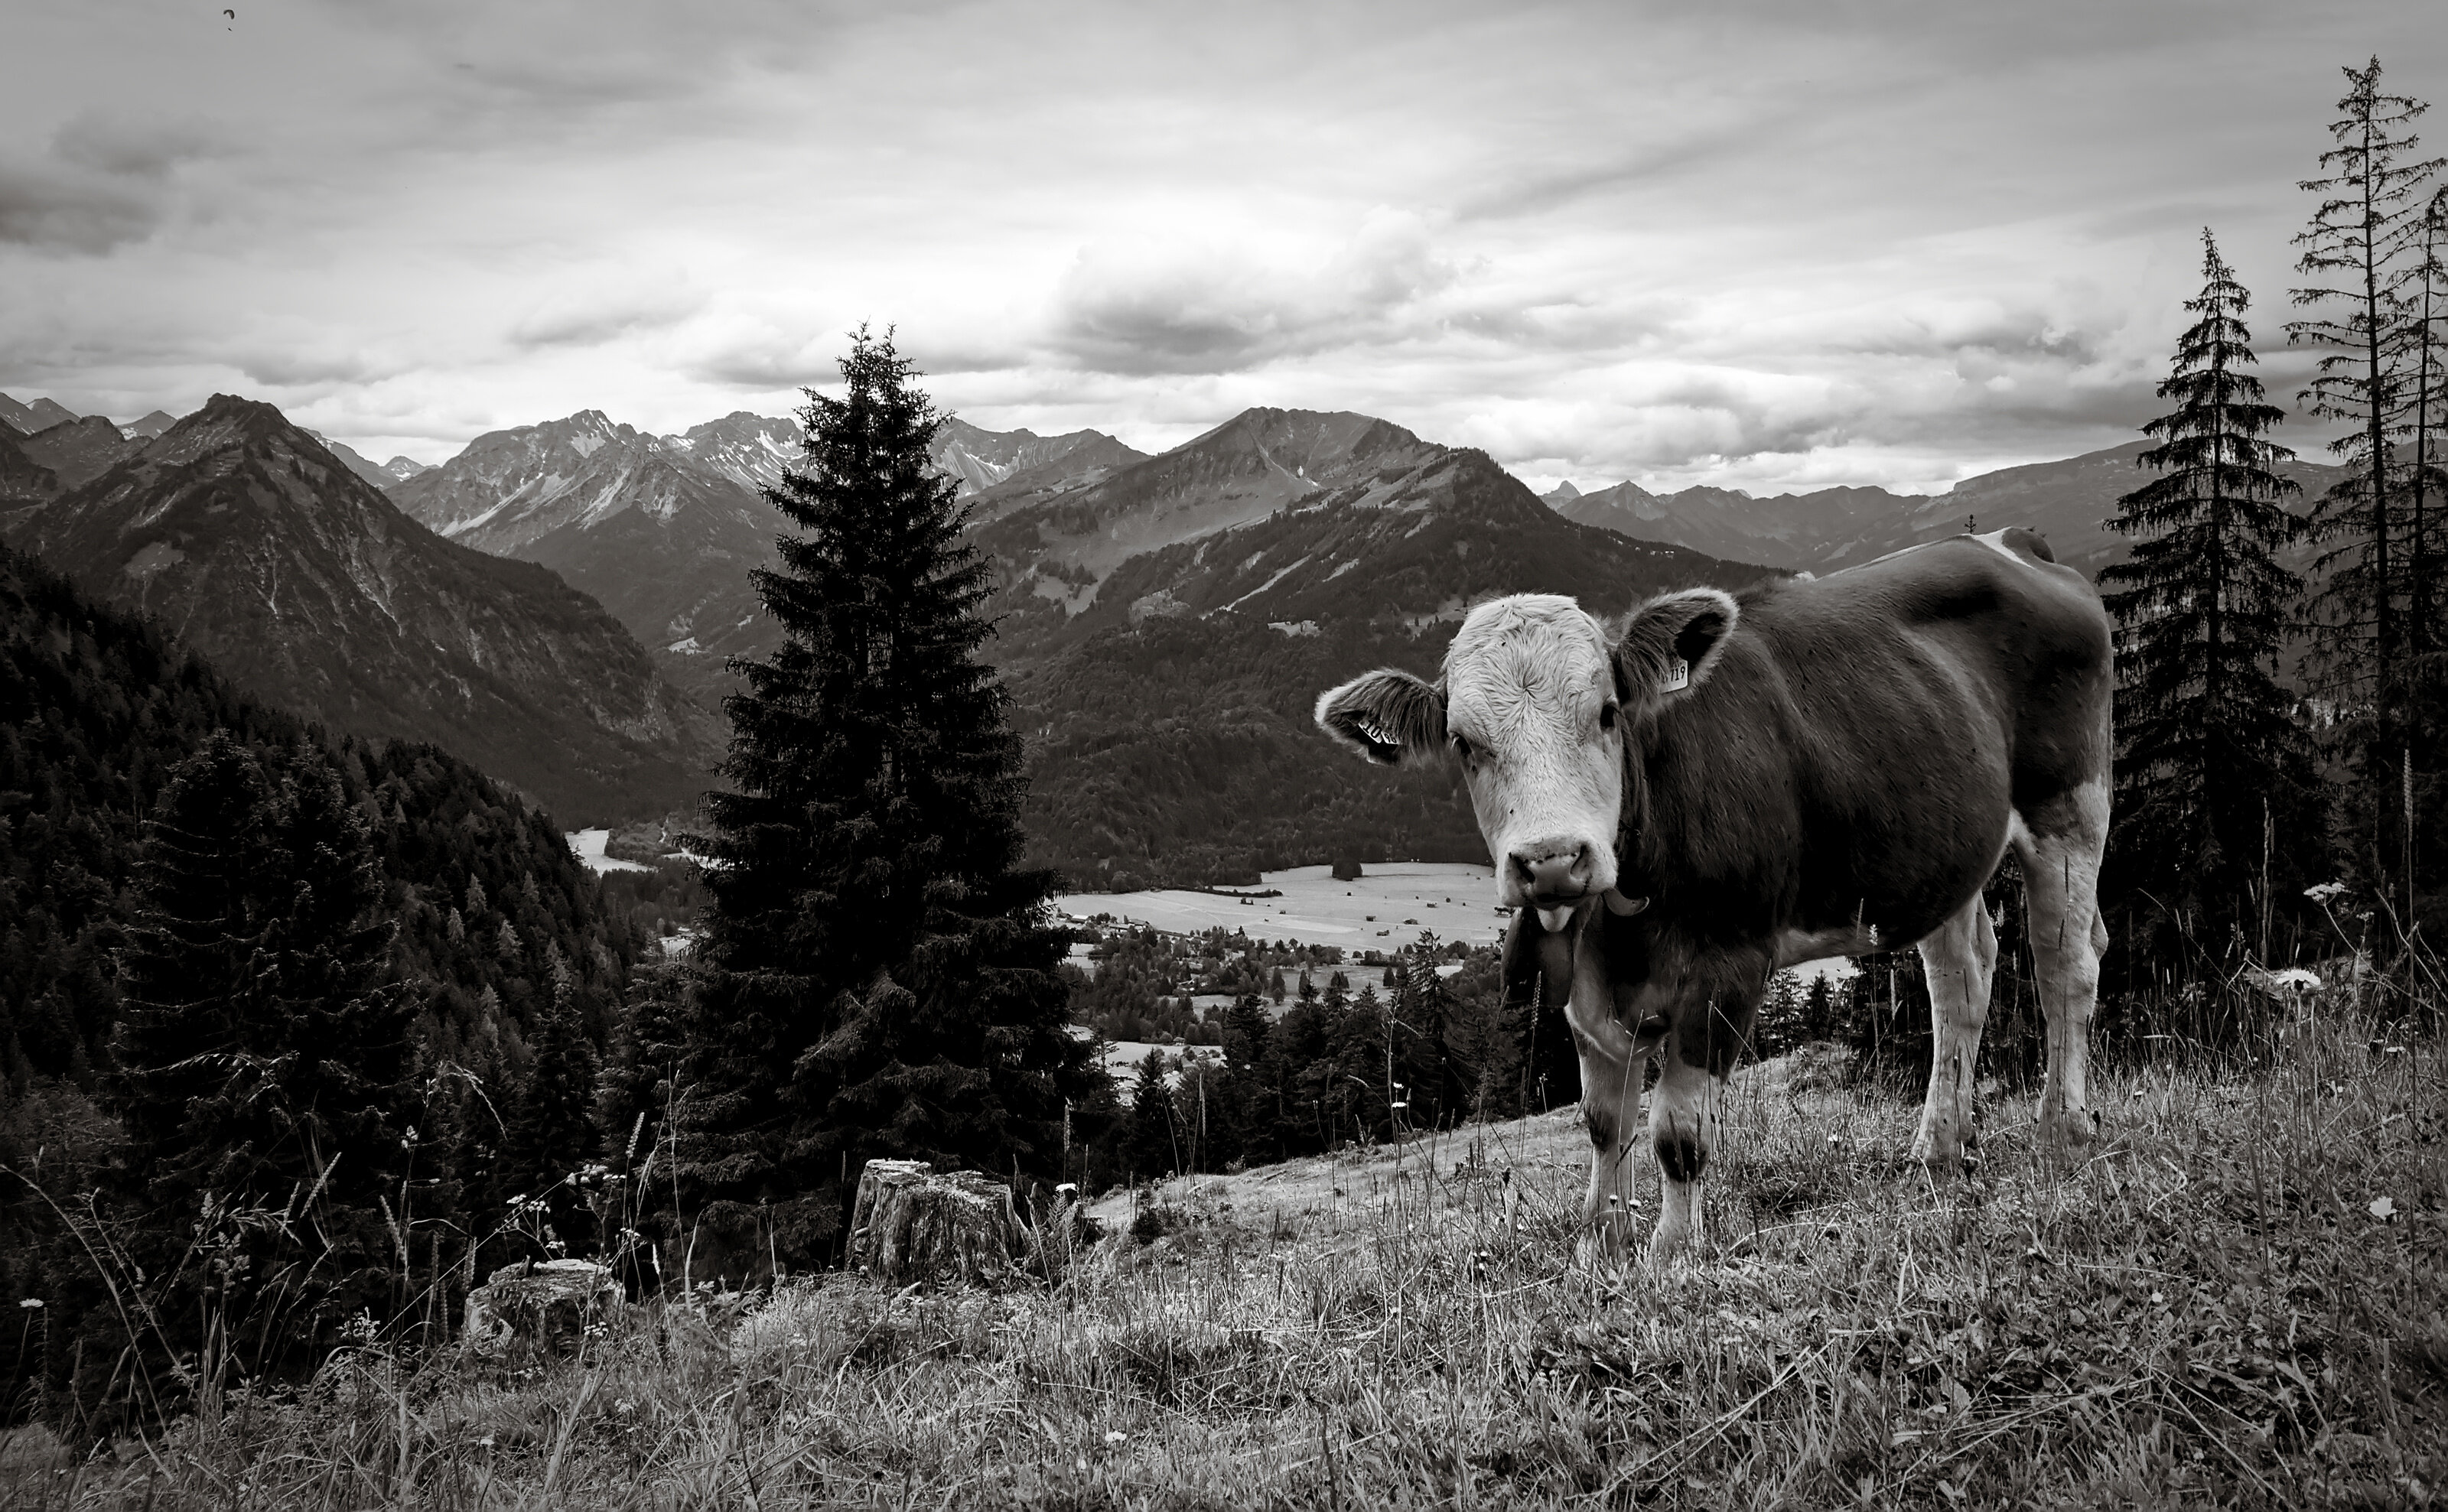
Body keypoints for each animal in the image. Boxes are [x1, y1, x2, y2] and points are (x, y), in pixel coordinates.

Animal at [1314, 529, 2112, 1261]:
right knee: (1962, 980)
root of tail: (2014, 544)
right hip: (1944, 851)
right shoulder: (1583, 991)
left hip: (2072, 805)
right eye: (1463, 742)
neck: (1623, 920)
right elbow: (1604, 1121)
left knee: (2066, 967)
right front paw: (1601, 1246)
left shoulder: (1729, 965)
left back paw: (2062, 1130)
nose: (1552, 861)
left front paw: (1671, 1253)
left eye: (1608, 711)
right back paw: (1938, 1147)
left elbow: (1678, 1131)